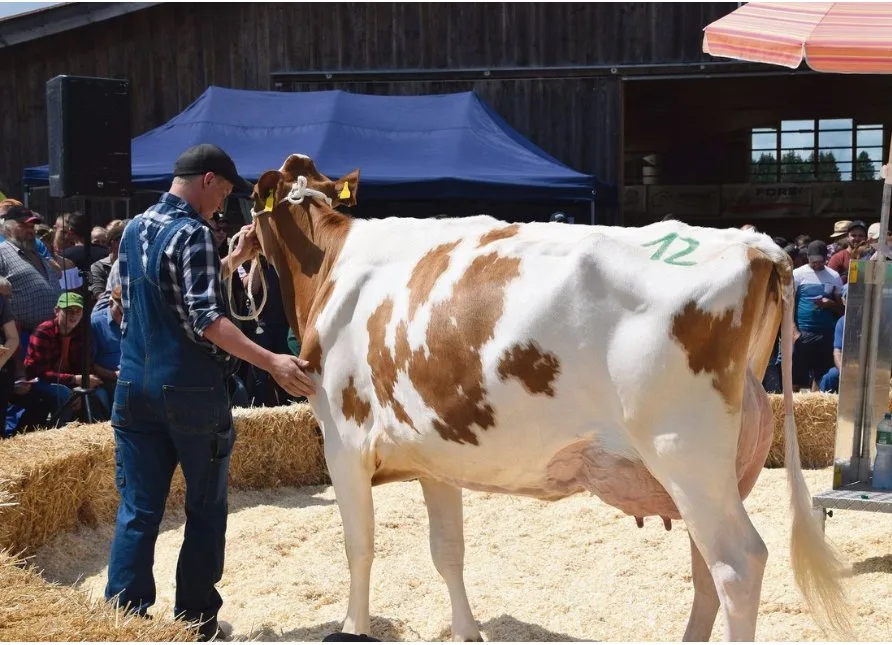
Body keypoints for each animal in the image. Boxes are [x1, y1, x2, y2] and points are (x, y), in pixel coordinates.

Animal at [245, 153, 850, 642]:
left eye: (250, 201)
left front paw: (352, 627)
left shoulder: (343, 442)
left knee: (737, 566)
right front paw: (467, 632)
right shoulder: (436, 455)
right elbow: (448, 551)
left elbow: (359, 546)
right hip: (722, 468)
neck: (331, 265)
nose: (234, 245)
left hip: (683, 449)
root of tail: (755, 245)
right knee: (707, 565)